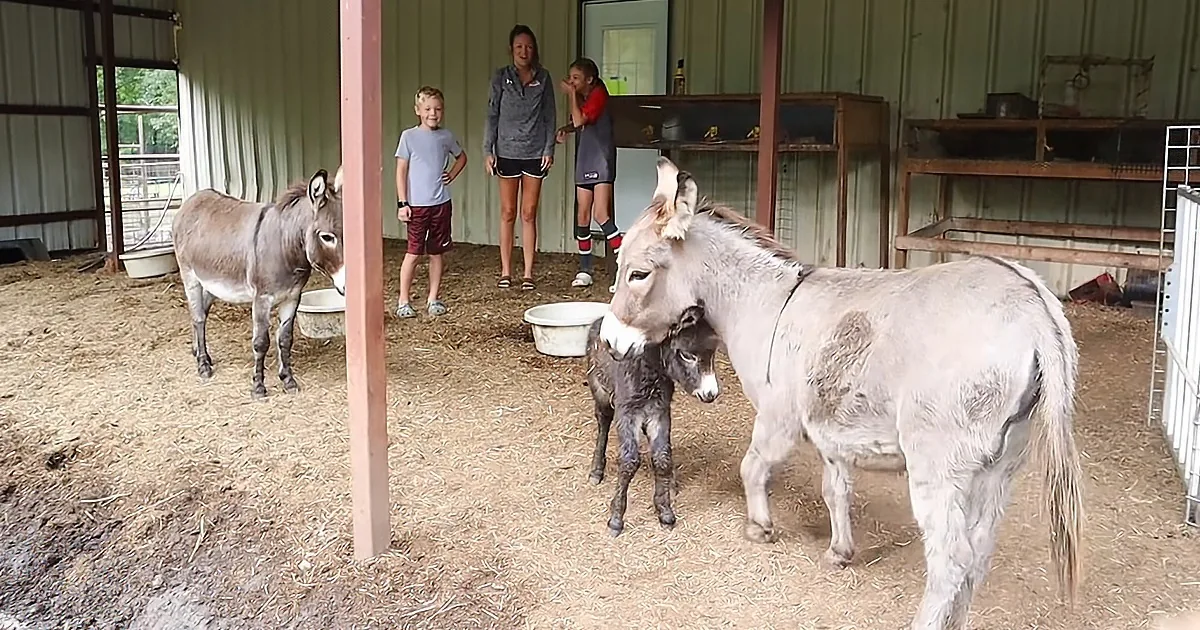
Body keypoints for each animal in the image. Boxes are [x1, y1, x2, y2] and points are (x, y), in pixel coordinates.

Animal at [172, 167, 346, 399]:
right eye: (327, 237)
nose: (346, 286)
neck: (285, 246)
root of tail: (193, 199)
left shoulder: (292, 297)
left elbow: (285, 339)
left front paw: (288, 380)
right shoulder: (262, 298)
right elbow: (261, 342)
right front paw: (258, 386)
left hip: (211, 283)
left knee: (201, 314)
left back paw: (200, 353)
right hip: (189, 276)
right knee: (198, 317)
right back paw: (203, 366)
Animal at [584, 305, 722, 536]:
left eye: (712, 353)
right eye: (686, 355)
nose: (710, 394)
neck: (650, 369)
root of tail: (599, 319)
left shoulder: (659, 412)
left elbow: (662, 457)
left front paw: (665, 511)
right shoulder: (627, 413)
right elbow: (629, 461)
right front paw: (616, 519)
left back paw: (671, 483)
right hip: (601, 391)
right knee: (603, 422)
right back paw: (596, 471)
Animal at [598, 157, 1084, 630]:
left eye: (638, 273)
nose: (609, 342)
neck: (764, 303)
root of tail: (1035, 307)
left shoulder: (778, 419)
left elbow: (752, 468)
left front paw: (760, 528)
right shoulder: (831, 431)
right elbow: (836, 490)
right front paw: (839, 552)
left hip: (939, 461)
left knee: (951, 558)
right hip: (1003, 462)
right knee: (979, 551)